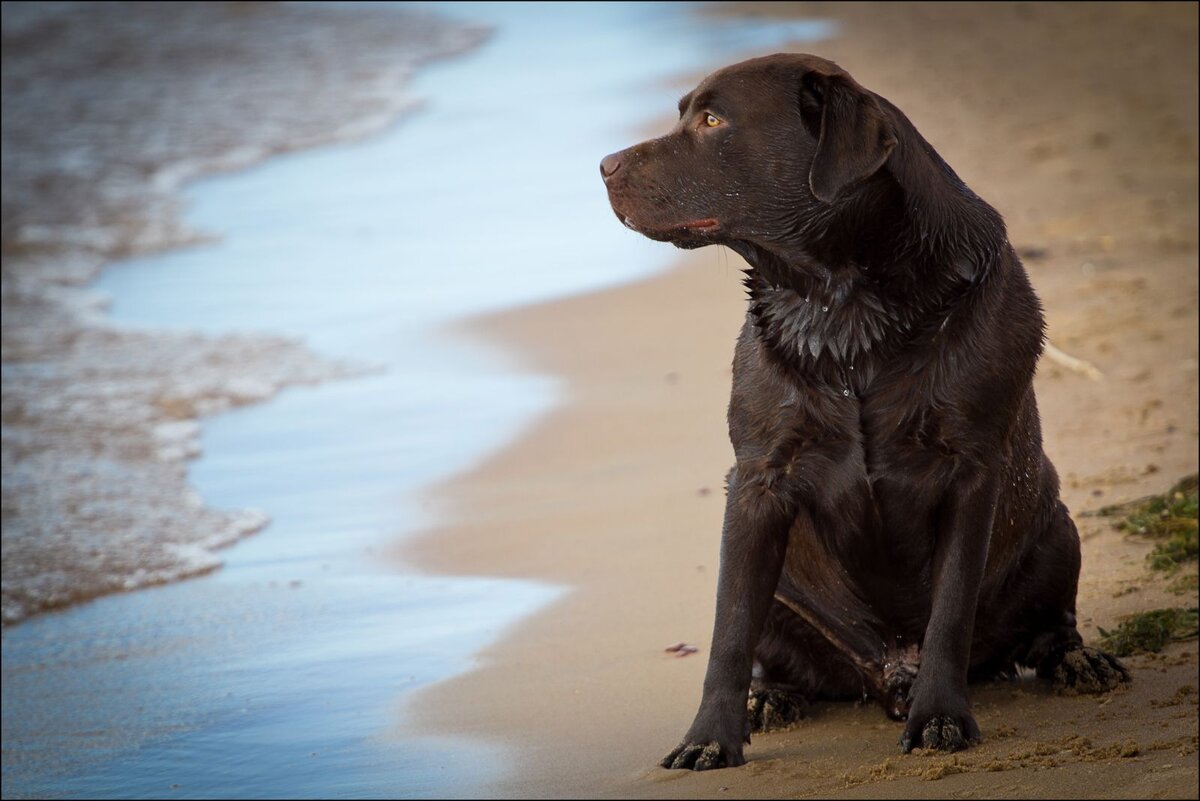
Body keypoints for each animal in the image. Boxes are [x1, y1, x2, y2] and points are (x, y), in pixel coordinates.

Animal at [604, 54, 1128, 767]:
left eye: (712, 120)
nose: (604, 165)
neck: (843, 309)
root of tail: (887, 673)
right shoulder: (756, 483)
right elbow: (729, 630)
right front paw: (709, 737)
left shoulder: (972, 474)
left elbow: (950, 611)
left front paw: (941, 716)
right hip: (785, 591)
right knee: (772, 648)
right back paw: (771, 696)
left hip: (1057, 534)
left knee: (1051, 625)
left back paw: (1075, 661)